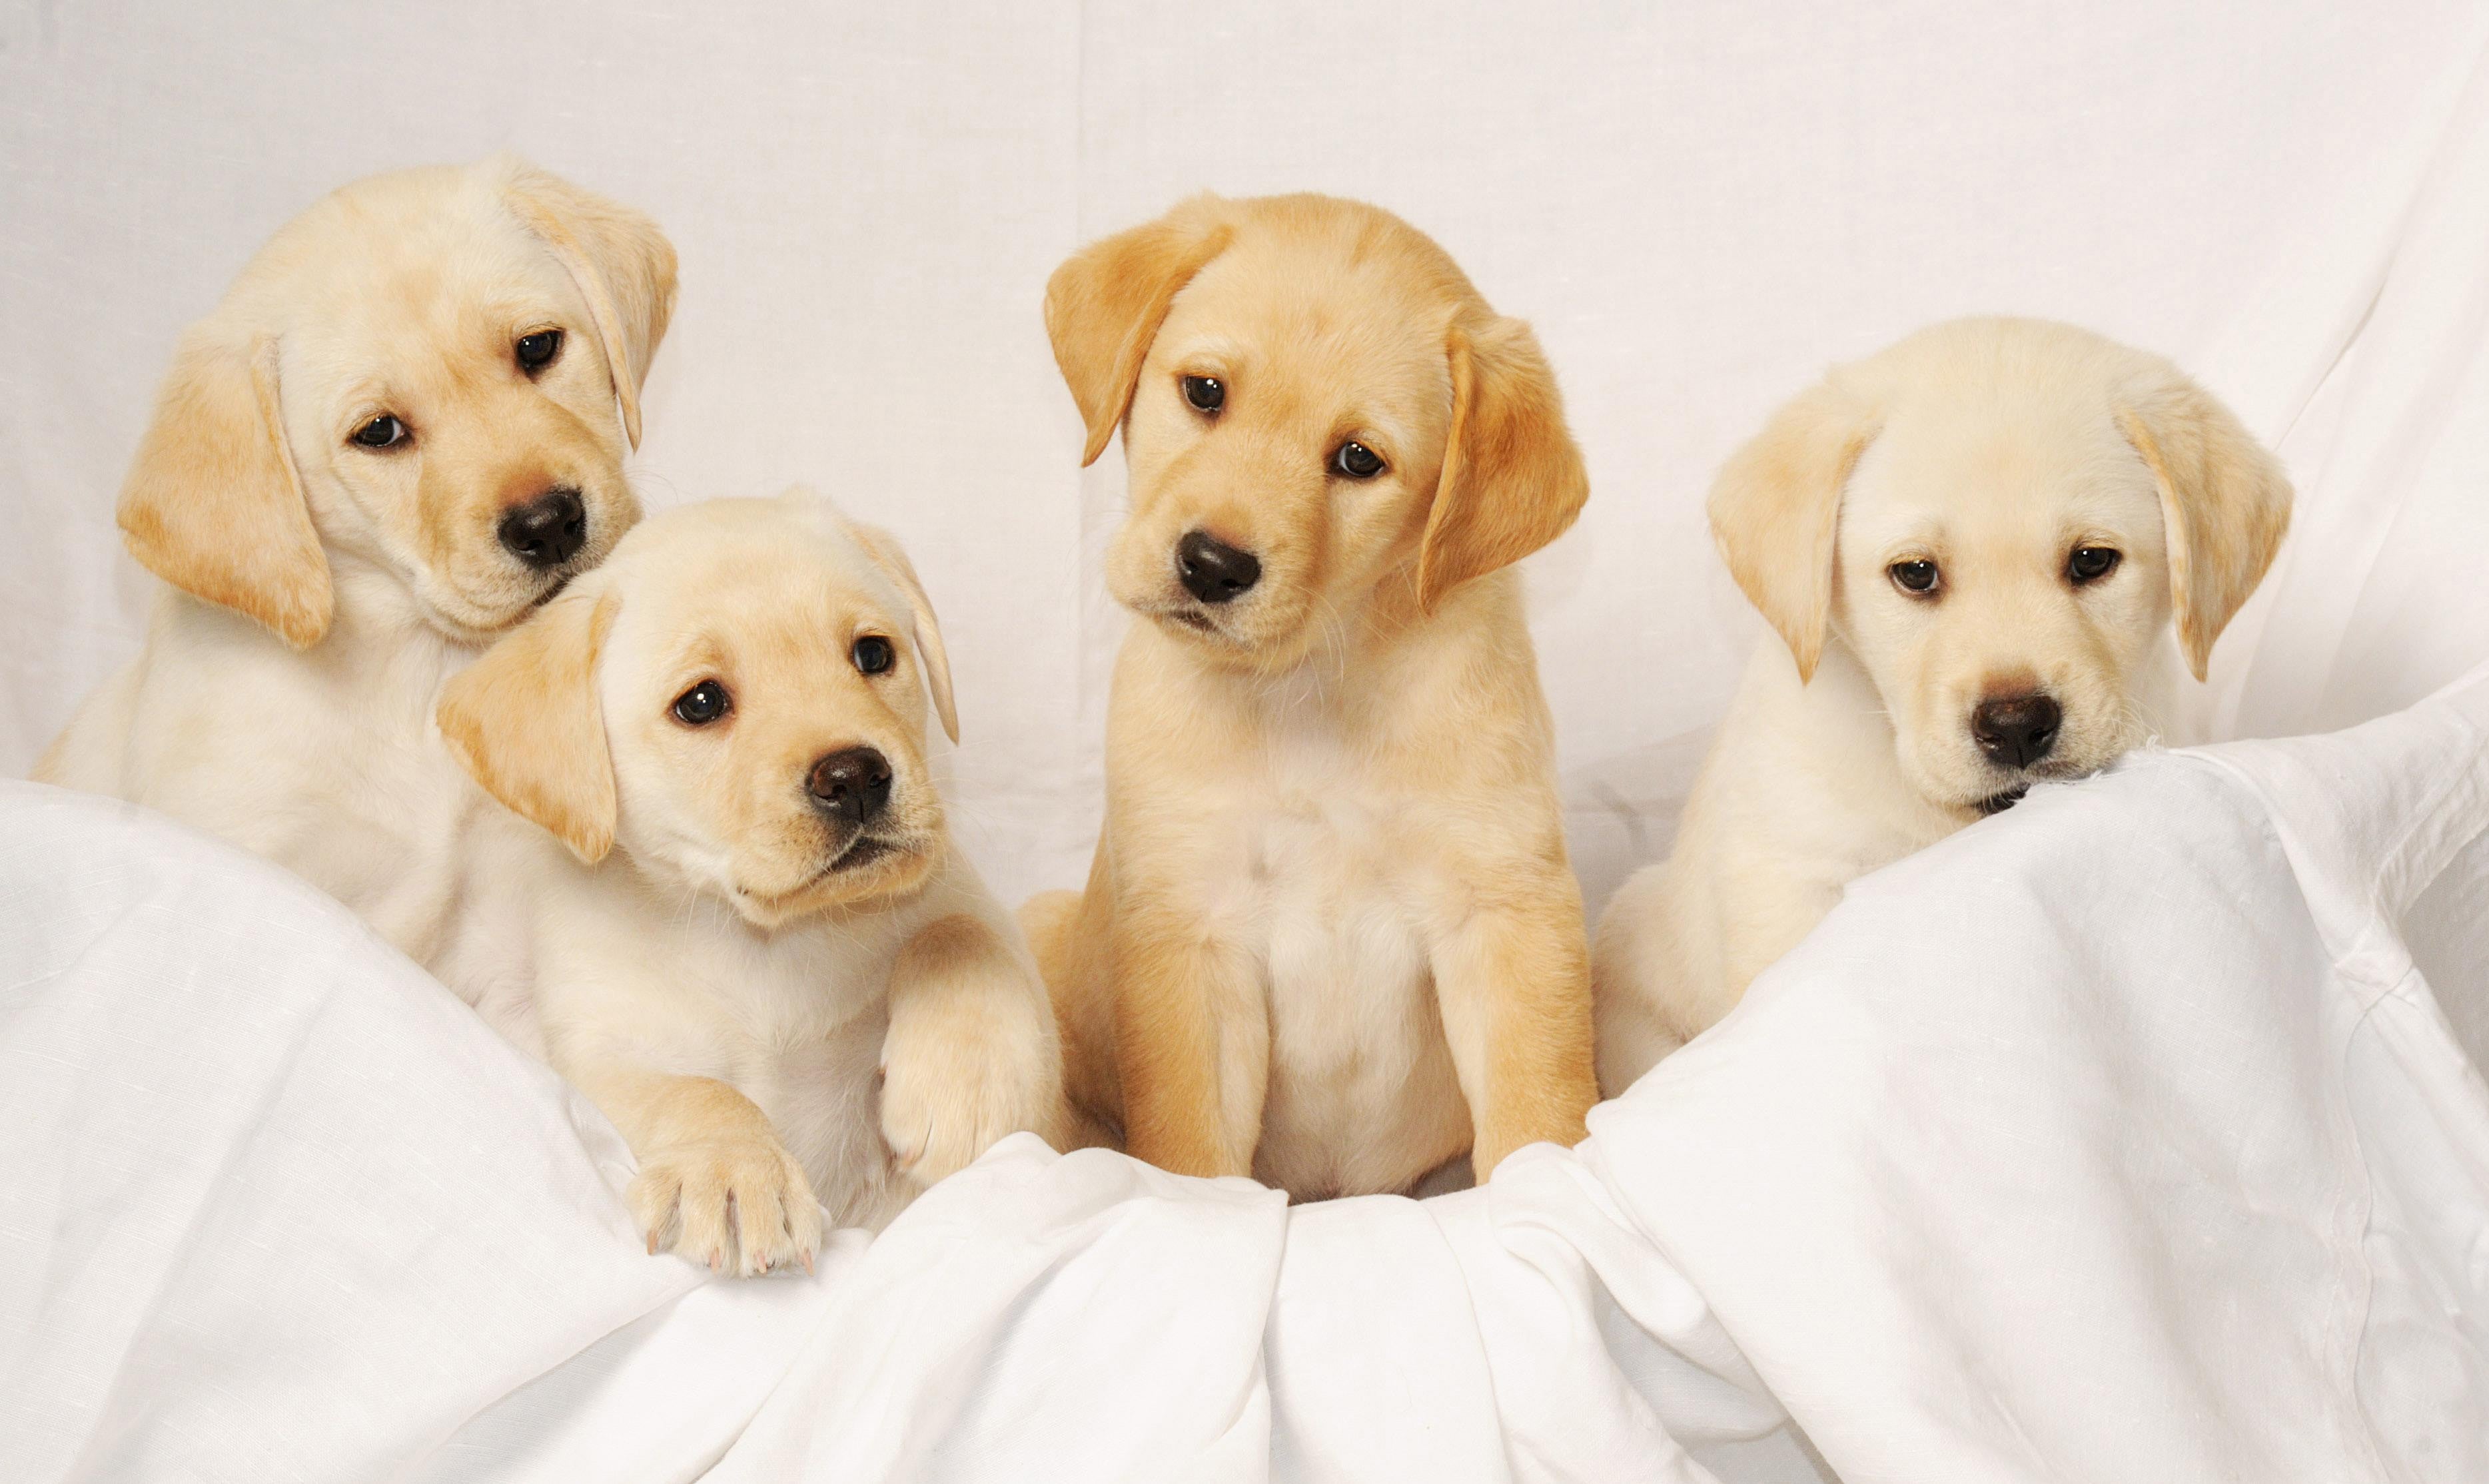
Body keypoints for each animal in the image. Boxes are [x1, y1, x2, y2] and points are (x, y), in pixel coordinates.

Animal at [438, 493, 1060, 1270]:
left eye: (874, 654)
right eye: (701, 703)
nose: (856, 777)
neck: (771, 943)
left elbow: (963, 934)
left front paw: (967, 1085)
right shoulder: (598, 1054)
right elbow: (695, 1092)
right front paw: (733, 1171)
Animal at [1025, 191, 1593, 1200]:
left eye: (1359, 459)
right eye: (1204, 392)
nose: (1211, 565)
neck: (1308, 687)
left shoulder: (1508, 910)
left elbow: (1539, 1113)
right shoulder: (1190, 935)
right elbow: (1191, 1154)